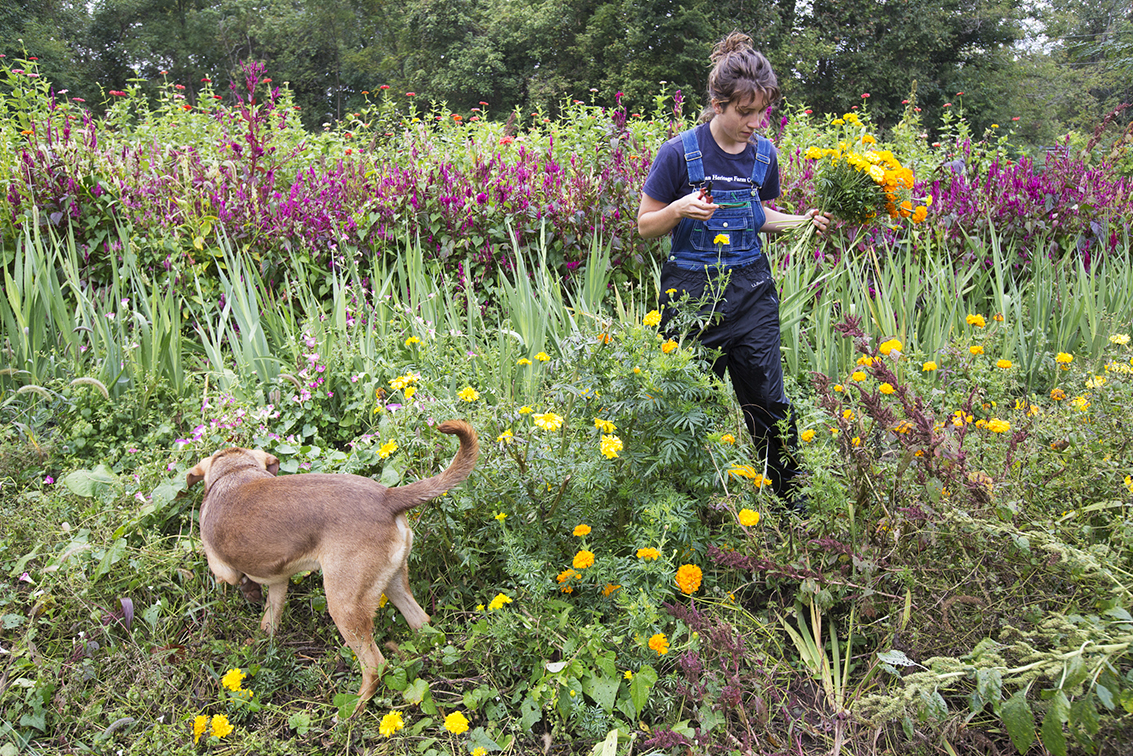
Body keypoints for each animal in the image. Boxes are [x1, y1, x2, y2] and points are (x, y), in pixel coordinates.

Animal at [185, 419, 478, 716]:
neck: (234, 471)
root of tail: (387, 496)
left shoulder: (221, 567)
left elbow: (236, 579)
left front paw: (249, 591)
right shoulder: (279, 581)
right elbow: (270, 616)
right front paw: (263, 636)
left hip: (343, 606)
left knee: (376, 665)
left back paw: (352, 710)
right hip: (393, 583)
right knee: (421, 622)